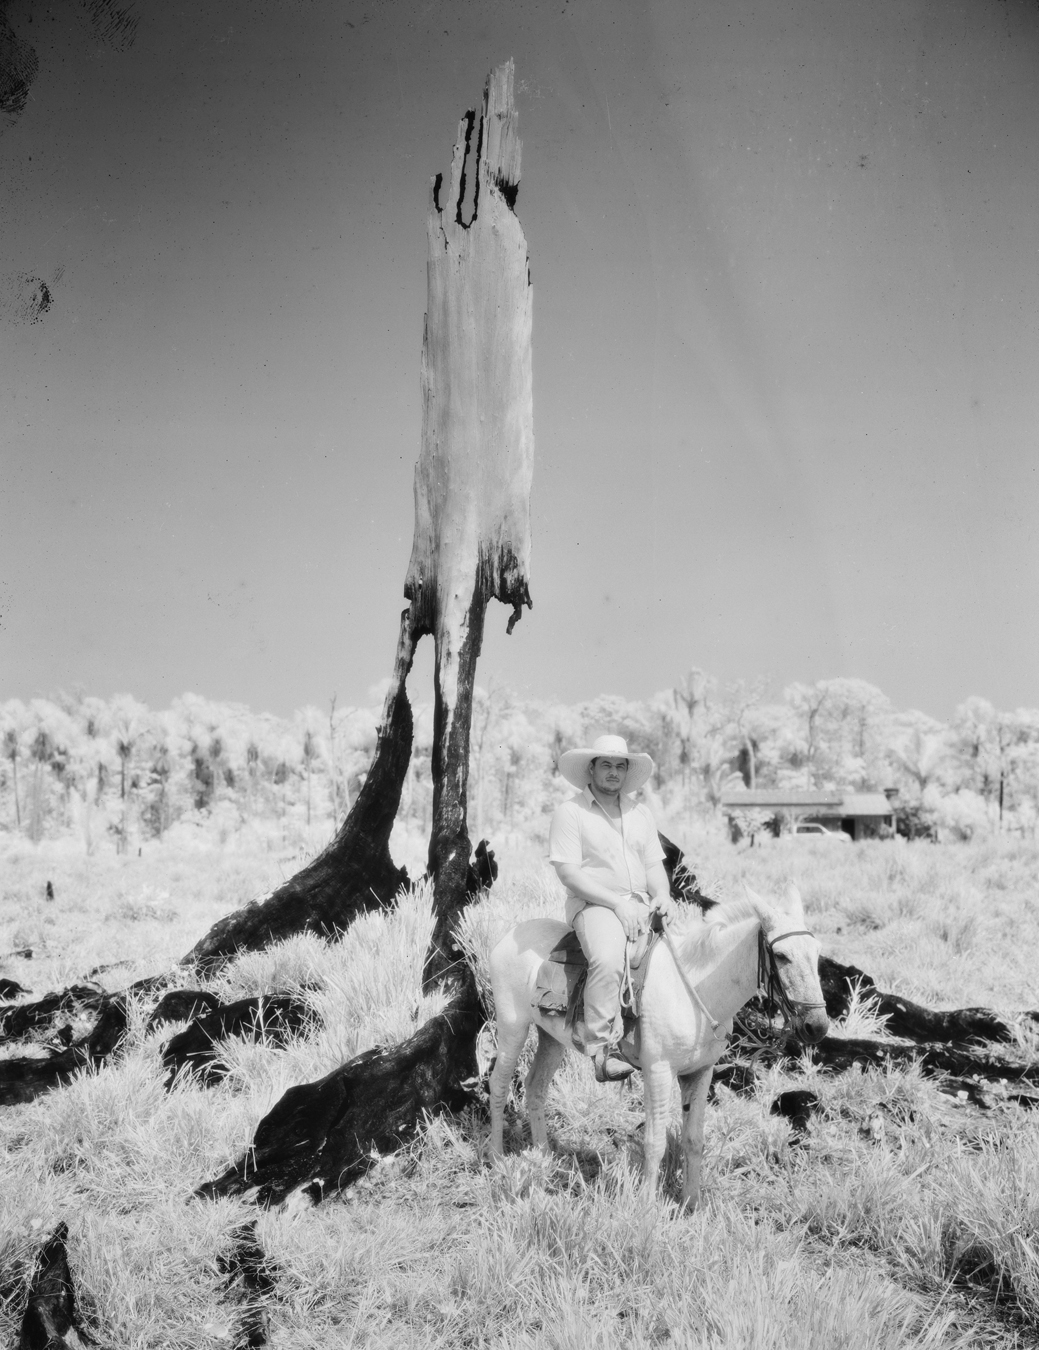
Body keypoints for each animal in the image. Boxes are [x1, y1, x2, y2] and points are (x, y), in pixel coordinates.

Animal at [485, 885, 825, 1215]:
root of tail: (509, 935)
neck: (694, 990)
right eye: (781, 956)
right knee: (499, 1085)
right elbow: (655, 1142)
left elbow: (694, 1140)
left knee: (535, 1087)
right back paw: (496, 1157)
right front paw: (647, 1208)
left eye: (817, 953)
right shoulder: (658, 1072)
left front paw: (692, 1204)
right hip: (513, 1028)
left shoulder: (700, 1074)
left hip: (551, 1039)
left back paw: (542, 1155)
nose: (817, 1026)